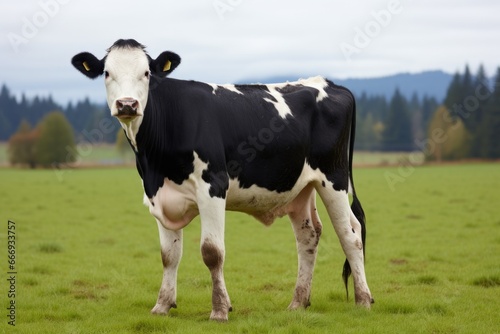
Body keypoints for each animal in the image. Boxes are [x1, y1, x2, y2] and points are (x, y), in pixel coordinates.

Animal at [72, 39, 374, 320]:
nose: (127, 104)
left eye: (146, 73)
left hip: (333, 179)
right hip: (300, 187)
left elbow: (212, 252)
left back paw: (363, 299)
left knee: (351, 235)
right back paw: (298, 302)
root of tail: (329, 84)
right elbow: (168, 255)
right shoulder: (159, 194)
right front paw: (162, 305)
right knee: (309, 236)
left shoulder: (213, 187)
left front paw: (219, 310)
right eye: (107, 73)